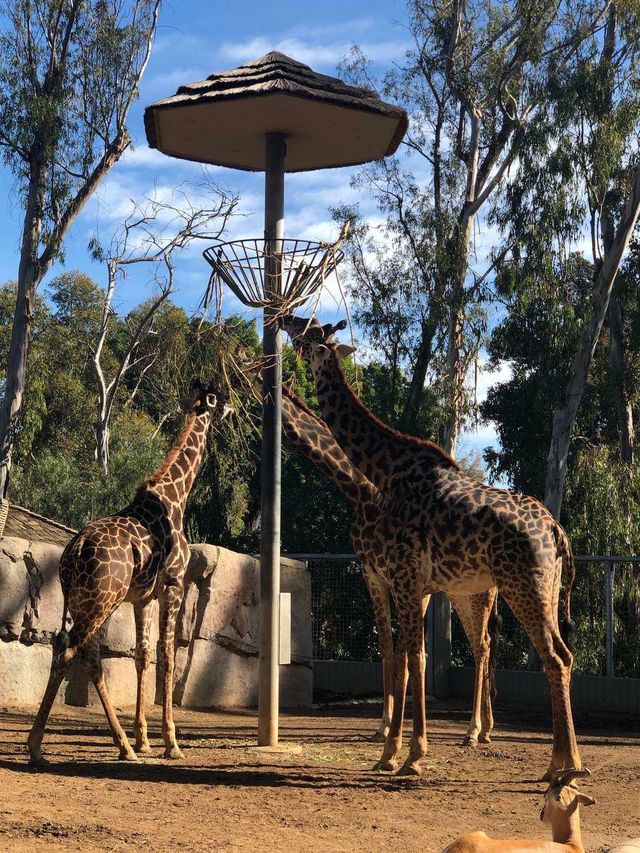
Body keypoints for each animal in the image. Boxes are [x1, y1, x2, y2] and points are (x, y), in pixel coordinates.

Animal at [28, 380, 232, 764]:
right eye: (221, 397)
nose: (233, 408)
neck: (175, 497)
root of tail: (73, 554)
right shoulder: (173, 585)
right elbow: (168, 657)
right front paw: (171, 743)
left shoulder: (143, 598)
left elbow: (143, 656)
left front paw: (144, 740)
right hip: (102, 601)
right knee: (70, 653)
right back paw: (38, 747)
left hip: (85, 602)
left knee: (85, 657)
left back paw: (122, 745)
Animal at [280, 382, 500, 744]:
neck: (363, 491)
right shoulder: (372, 573)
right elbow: (386, 645)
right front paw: (384, 725)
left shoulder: (407, 579)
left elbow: (404, 650)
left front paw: (399, 728)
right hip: (460, 596)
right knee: (482, 644)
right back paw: (487, 727)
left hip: (479, 595)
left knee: (482, 647)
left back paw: (473, 730)